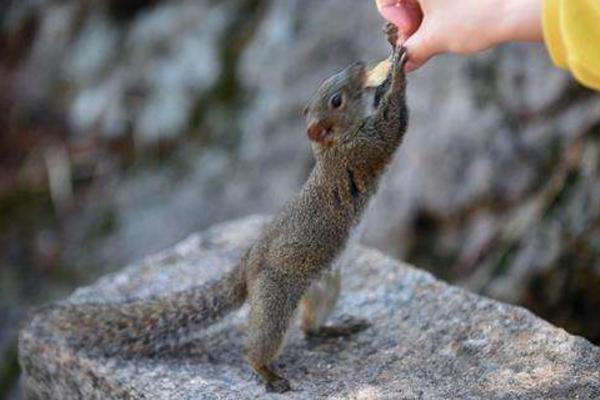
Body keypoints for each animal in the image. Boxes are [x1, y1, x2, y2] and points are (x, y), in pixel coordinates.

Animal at [24, 24, 408, 394]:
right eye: (336, 99)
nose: (357, 64)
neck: (331, 147)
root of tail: (247, 265)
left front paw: (392, 40)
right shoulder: (363, 150)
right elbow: (393, 125)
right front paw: (399, 65)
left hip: (324, 284)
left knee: (310, 326)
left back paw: (333, 329)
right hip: (274, 299)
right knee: (260, 342)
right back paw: (267, 372)